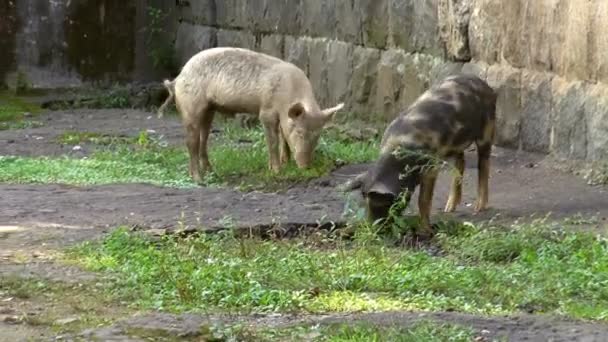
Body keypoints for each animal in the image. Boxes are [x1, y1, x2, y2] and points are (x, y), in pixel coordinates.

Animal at [157, 47, 344, 184]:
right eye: (299, 132)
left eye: (317, 136)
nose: (306, 166)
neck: (289, 94)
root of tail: (178, 78)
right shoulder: (266, 111)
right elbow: (272, 141)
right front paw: (277, 170)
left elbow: (283, 138)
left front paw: (286, 162)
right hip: (191, 104)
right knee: (191, 142)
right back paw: (199, 179)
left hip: (209, 109)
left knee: (203, 139)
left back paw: (211, 171)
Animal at [340, 74, 496, 240]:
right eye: (365, 204)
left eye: (385, 205)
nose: (375, 230)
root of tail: (484, 84)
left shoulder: (431, 166)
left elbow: (424, 200)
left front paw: (425, 232)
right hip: (455, 145)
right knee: (461, 162)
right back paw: (448, 209)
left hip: (487, 129)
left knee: (483, 164)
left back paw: (478, 208)